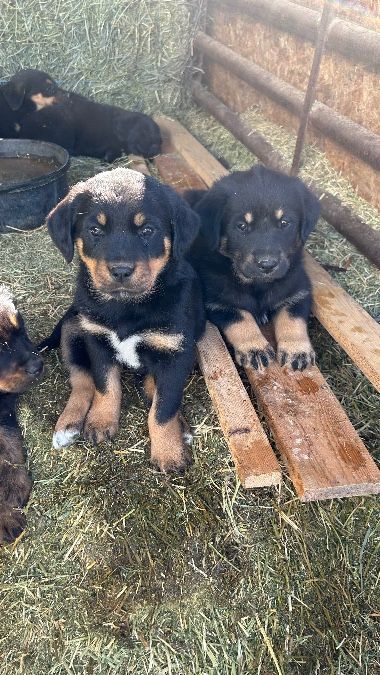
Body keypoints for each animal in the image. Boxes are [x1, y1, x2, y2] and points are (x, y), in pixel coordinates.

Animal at [40, 169, 205, 476]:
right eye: (95, 230)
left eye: (147, 230)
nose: (121, 271)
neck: (126, 307)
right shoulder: (97, 339)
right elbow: (106, 385)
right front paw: (101, 422)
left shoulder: (175, 352)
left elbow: (164, 408)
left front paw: (169, 452)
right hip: (72, 330)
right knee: (82, 381)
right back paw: (68, 425)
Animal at [186, 166, 320, 372]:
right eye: (241, 226)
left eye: (284, 223)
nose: (267, 264)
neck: (257, 284)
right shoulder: (219, 302)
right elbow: (241, 318)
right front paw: (255, 347)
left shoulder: (298, 289)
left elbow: (292, 317)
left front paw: (297, 349)